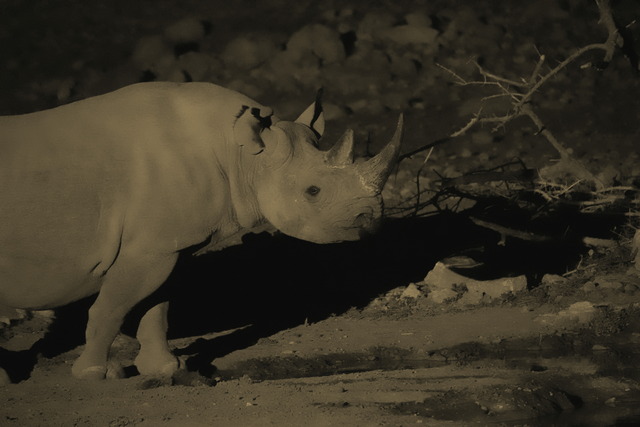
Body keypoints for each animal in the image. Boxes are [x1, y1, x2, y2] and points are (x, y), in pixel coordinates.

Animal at [0, 82, 402, 382]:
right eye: (313, 191)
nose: (373, 219)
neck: (242, 155)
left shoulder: (167, 245)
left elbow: (156, 306)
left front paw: (164, 368)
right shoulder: (150, 248)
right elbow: (112, 307)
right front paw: (95, 374)